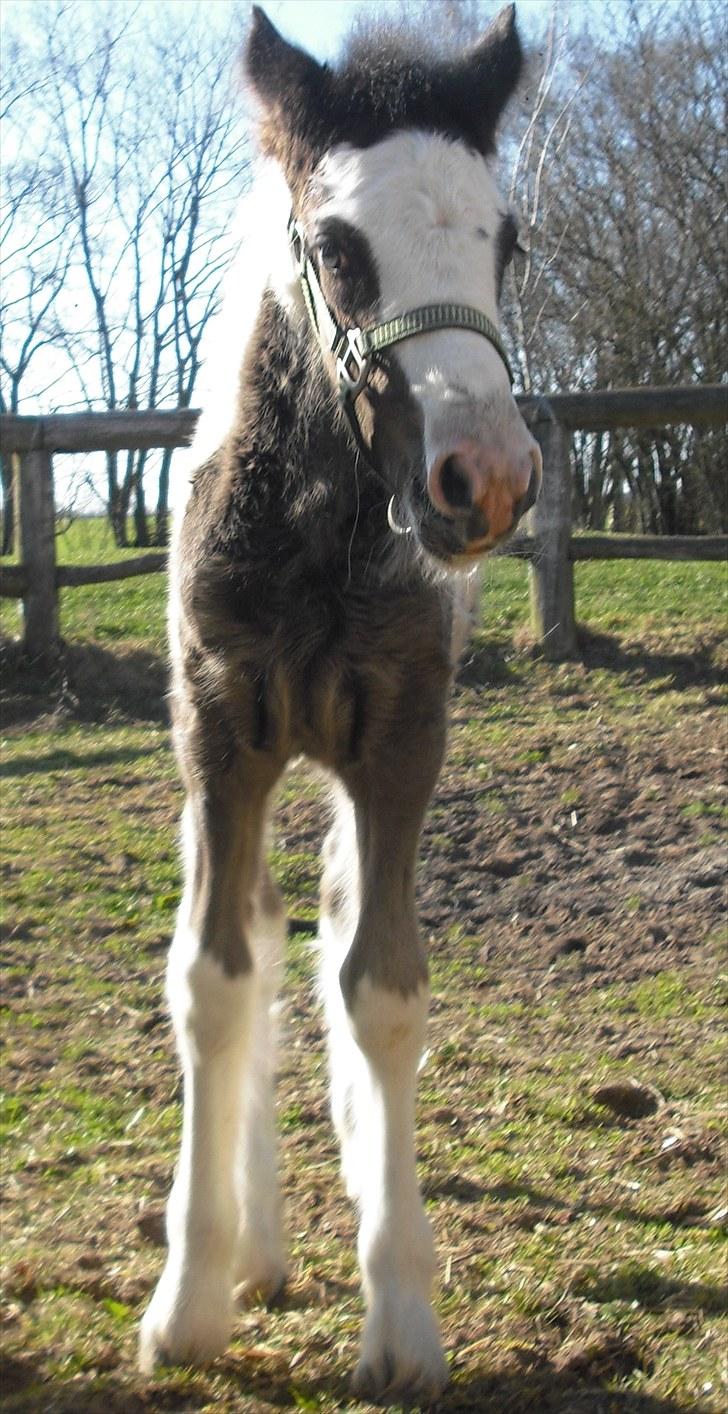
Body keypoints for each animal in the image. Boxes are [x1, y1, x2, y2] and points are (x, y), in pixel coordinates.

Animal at [142, 5, 539, 1402]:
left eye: (504, 239)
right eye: (333, 248)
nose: (484, 479)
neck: (321, 528)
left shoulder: (400, 744)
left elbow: (381, 988)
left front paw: (401, 1314)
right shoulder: (220, 738)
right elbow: (213, 979)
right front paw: (188, 1302)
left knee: (335, 918)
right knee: (261, 933)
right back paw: (256, 1241)